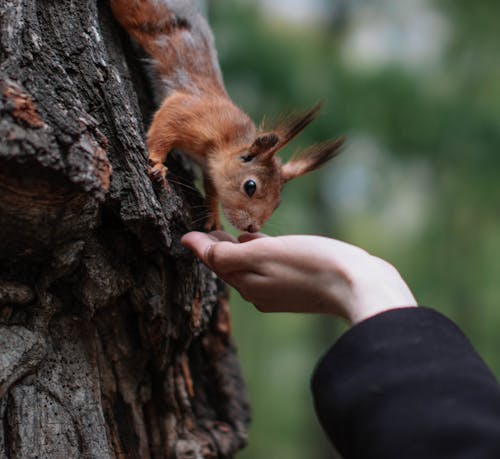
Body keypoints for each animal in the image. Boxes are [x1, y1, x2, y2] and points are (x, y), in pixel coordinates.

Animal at [109, 0, 344, 232]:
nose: (252, 228)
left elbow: (212, 186)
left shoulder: (210, 165)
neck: (228, 140)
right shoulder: (190, 113)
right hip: (141, 14)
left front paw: (213, 214)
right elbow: (166, 128)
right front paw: (157, 161)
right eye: (250, 186)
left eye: (278, 202)